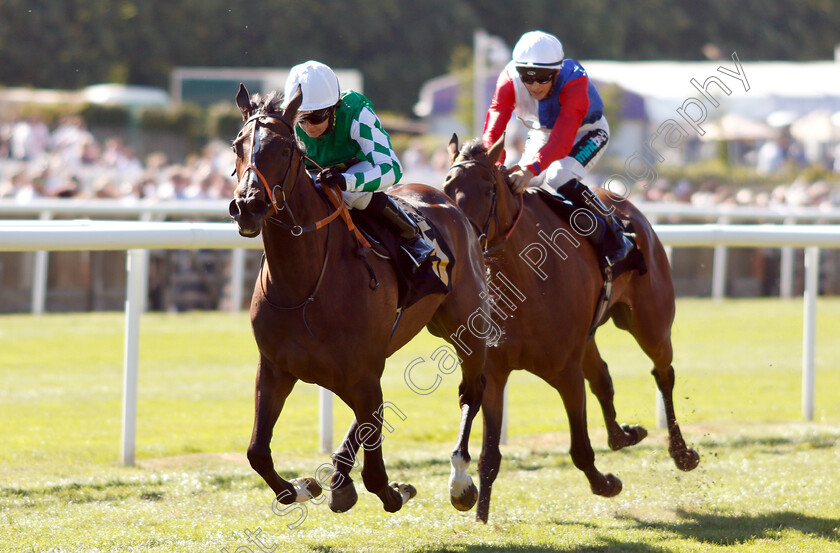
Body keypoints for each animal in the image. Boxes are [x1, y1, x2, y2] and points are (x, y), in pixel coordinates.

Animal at [230, 84, 488, 516]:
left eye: (285, 148)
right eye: (237, 145)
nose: (248, 205)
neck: (304, 285)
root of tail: (446, 199)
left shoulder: (362, 370)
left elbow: (377, 473)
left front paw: (397, 489)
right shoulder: (277, 368)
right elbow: (257, 453)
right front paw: (304, 486)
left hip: (465, 325)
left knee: (471, 390)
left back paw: (460, 480)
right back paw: (338, 477)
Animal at [442, 134, 700, 520]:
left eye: (488, 189)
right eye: (446, 188)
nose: (464, 242)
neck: (523, 277)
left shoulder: (565, 371)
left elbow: (580, 447)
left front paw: (606, 483)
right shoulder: (495, 371)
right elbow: (489, 456)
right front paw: (479, 513)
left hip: (650, 323)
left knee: (663, 374)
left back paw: (681, 453)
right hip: (589, 337)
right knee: (603, 378)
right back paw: (623, 435)